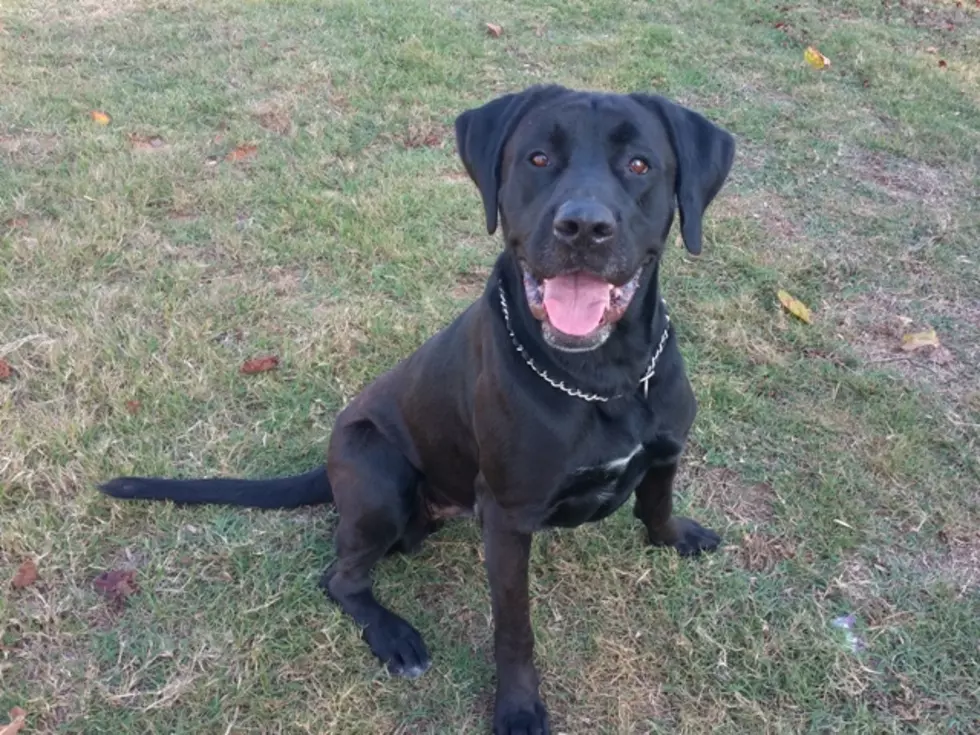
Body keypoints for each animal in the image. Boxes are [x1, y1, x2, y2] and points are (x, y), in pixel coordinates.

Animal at [105, 83, 736, 732]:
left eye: (639, 165)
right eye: (538, 158)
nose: (583, 225)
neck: (604, 376)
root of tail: (329, 462)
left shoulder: (665, 453)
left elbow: (655, 503)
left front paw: (675, 536)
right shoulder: (508, 518)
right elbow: (514, 629)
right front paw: (517, 706)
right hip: (380, 478)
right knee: (340, 577)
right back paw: (395, 637)